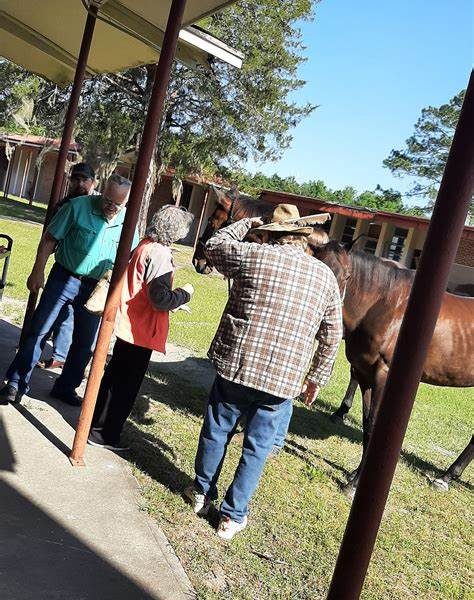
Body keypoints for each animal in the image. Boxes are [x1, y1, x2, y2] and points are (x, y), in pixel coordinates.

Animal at [314, 241, 474, 494]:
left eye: (347, 276)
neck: (382, 304)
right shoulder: (365, 374)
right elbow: (367, 425)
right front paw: (355, 477)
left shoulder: (383, 376)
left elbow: (374, 427)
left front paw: (354, 484)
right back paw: (447, 477)